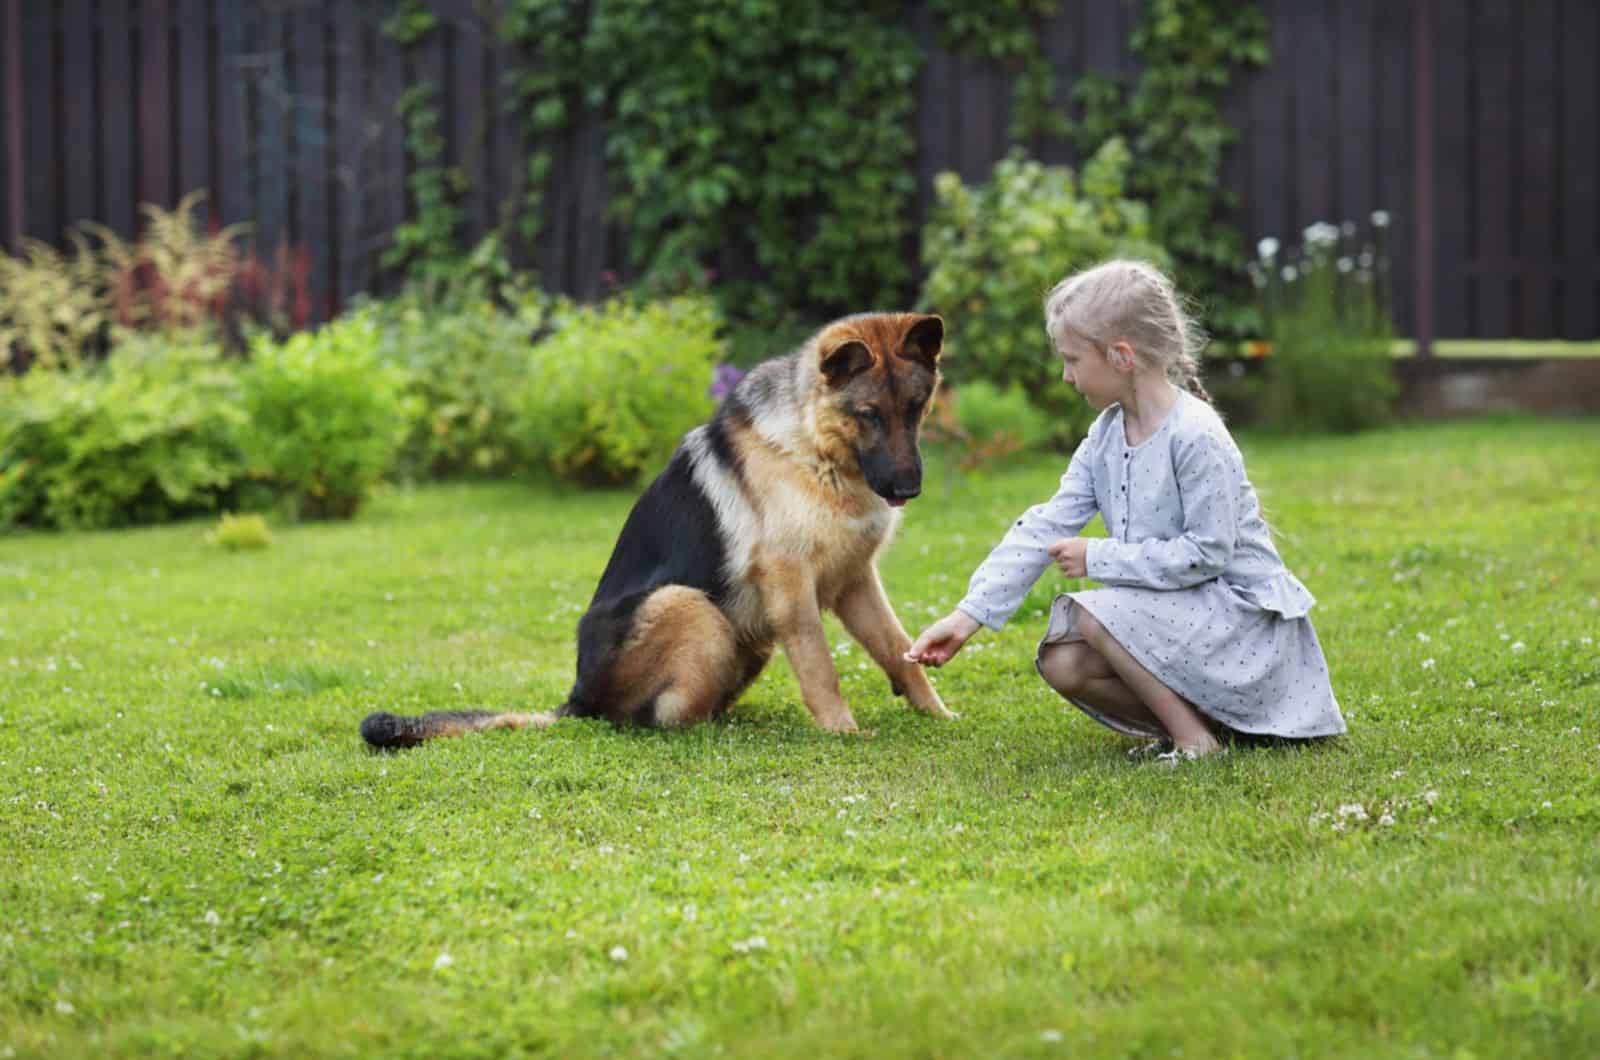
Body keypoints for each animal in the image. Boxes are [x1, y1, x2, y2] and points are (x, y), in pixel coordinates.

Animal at [366, 312, 947, 752]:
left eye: (916, 409)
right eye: (868, 414)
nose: (910, 488)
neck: (813, 446)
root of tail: (577, 700)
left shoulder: (855, 580)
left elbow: (898, 648)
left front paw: (938, 714)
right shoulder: (791, 586)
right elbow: (821, 667)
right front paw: (843, 732)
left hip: (746, 637)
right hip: (690, 606)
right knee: (659, 719)